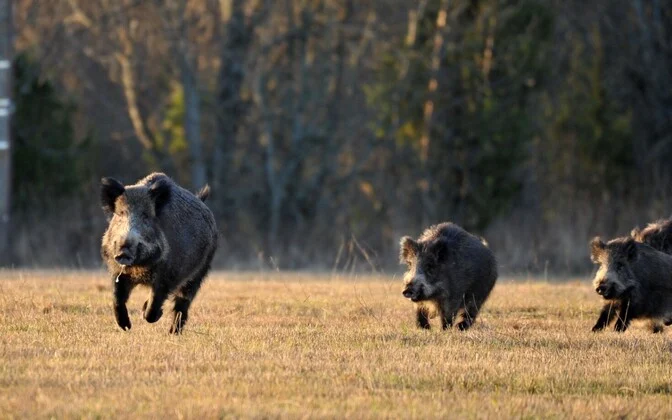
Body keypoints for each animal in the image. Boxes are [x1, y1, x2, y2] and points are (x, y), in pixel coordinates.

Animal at [100, 172, 218, 334]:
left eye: (145, 216)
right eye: (121, 214)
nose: (124, 250)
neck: (139, 268)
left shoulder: (167, 275)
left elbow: (154, 303)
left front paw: (146, 314)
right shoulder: (117, 271)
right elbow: (117, 298)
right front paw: (126, 327)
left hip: (200, 271)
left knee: (183, 302)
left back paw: (173, 332)